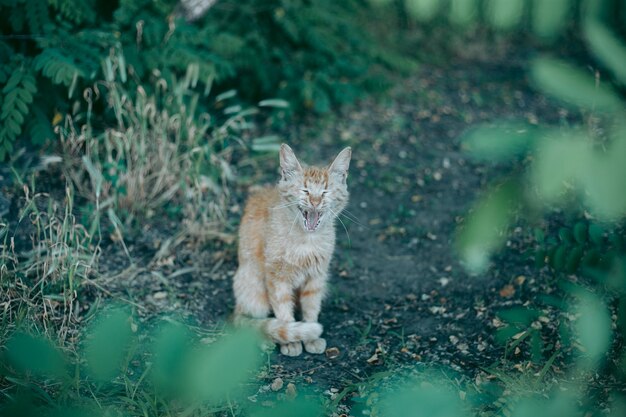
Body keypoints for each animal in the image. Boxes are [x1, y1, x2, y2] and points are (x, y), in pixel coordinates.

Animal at [232, 143, 352, 354]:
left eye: (325, 192)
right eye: (305, 191)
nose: (315, 202)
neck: (306, 241)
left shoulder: (317, 277)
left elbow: (311, 308)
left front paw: (311, 337)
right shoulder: (276, 278)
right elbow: (283, 312)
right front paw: (291, 342)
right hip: (254, 291)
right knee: (250, 321)